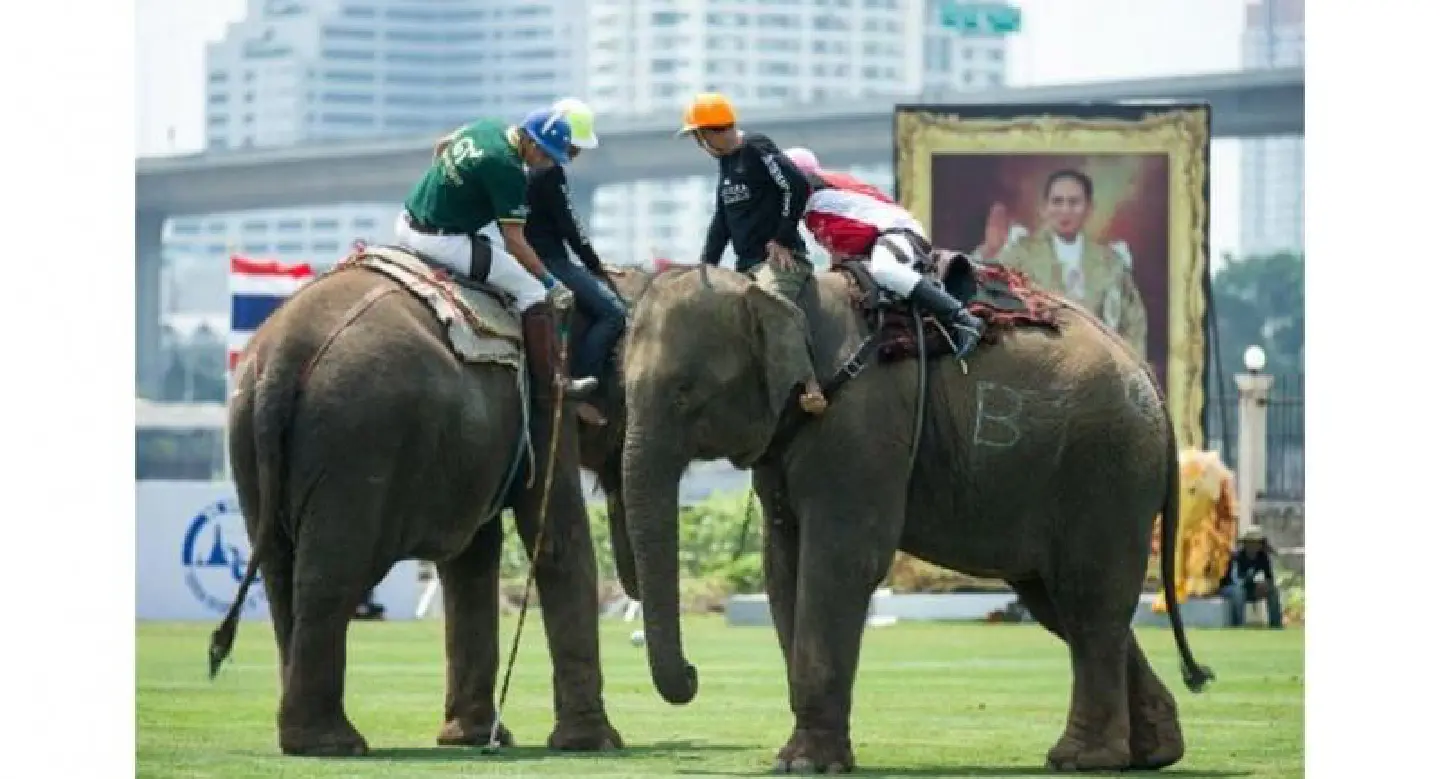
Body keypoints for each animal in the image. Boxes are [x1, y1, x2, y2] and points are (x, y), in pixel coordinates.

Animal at [208, 253, 646, 756]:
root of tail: (281, 359)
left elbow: (474, 556)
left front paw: (472, 738)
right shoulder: (547, 398)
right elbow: (556, 538)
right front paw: (596, 743)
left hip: (249, 433)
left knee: (281, 574)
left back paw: (310, 738)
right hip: (357, 439)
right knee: (329, 577)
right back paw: (334, 744)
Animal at [618, 263, 1212, 773]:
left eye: (684, 392)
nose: (694, 674)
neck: (780, 296)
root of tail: (1151, 382)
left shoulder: (859, 431)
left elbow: (842, 563)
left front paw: (805, 764)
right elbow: (782, 567)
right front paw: (803, 757)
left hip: (1105, 469)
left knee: (1087, 600)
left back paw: (1081, 760)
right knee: (1061, 603)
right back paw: (1154, 752)